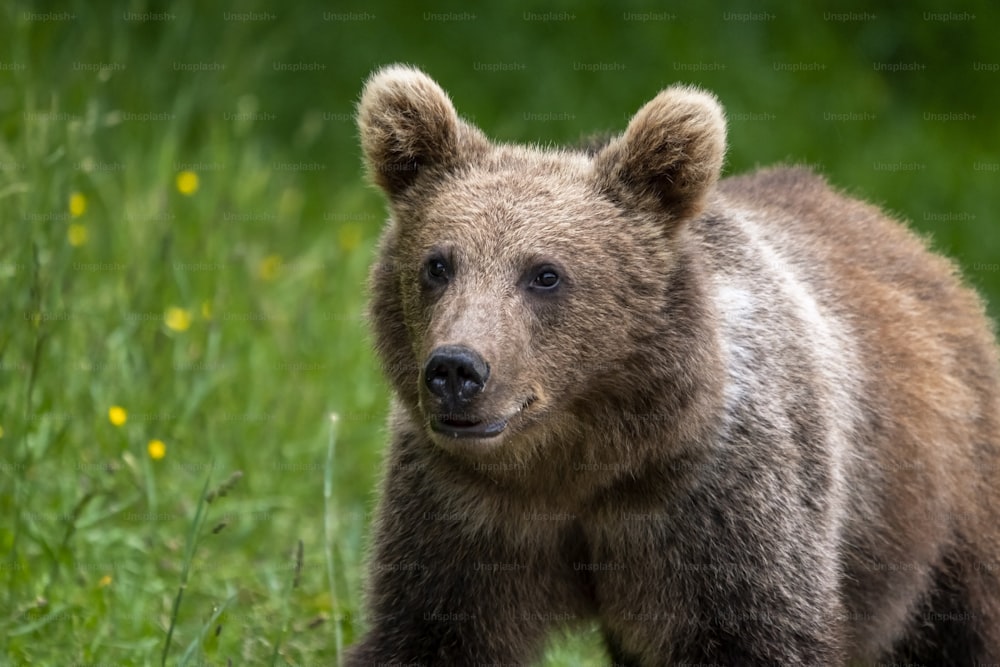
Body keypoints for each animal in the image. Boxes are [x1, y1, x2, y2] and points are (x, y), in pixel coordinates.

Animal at [344, 64, 1000, 667]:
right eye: (437, 264)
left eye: (545, 274)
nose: (457, 370)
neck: (578, 462)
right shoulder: (463, 510)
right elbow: (428, 633)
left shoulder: (717, 503)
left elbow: (760, 633)